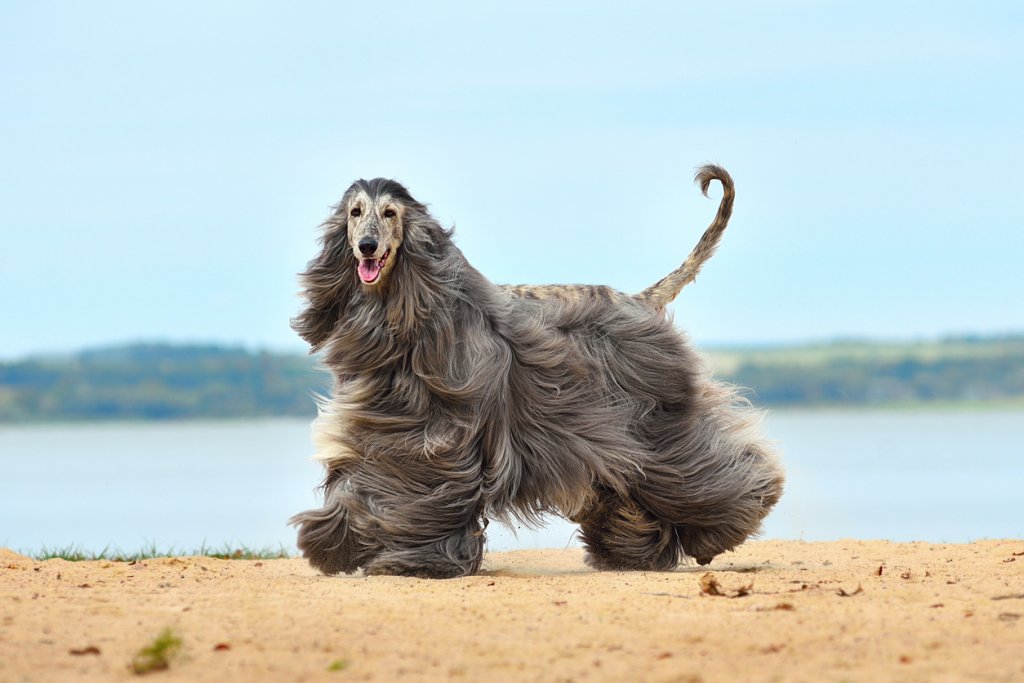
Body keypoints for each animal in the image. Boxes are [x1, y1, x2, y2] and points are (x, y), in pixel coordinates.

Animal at [288, 165, 782, 577]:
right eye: (355, 213)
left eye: (389, 213)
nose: (367, 246)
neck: (409, 311)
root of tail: (640, 300)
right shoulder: (388, 423)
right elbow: (357, 474)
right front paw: (337, 543)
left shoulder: (435, 437)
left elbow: (404, 486)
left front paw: (392, 557)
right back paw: (632, 549)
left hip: (652, 417)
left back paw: (724, 526)